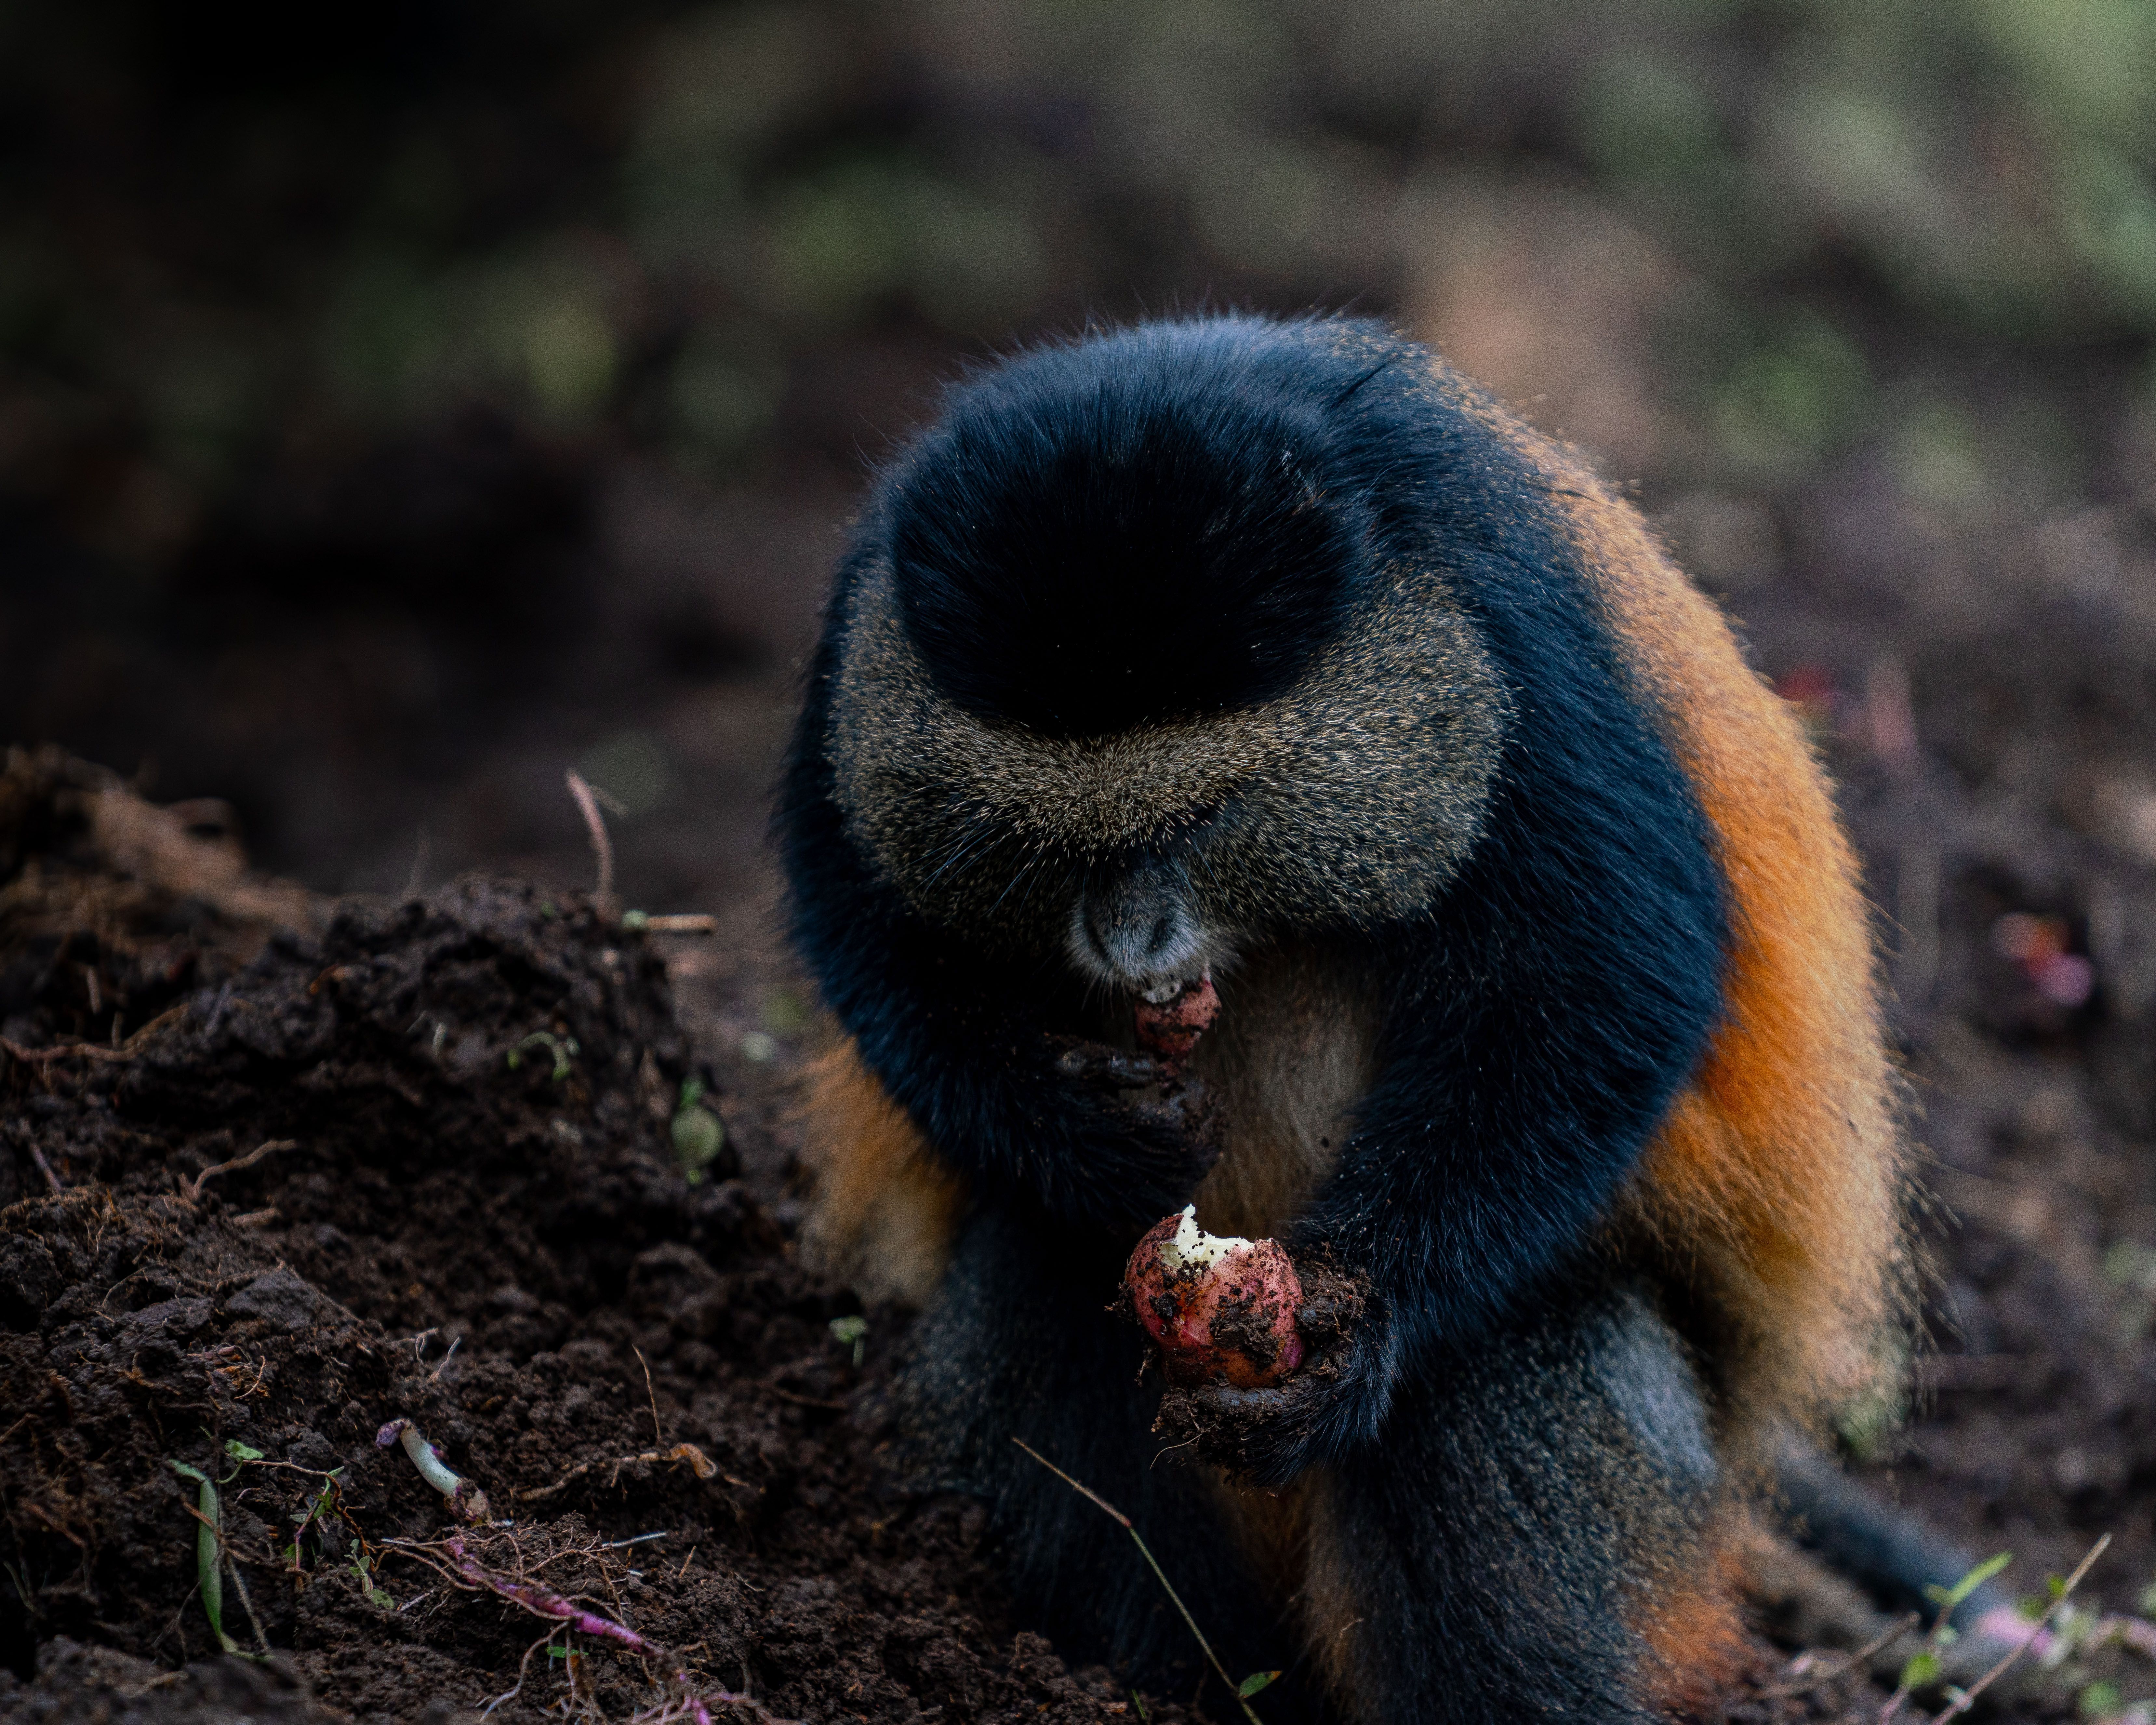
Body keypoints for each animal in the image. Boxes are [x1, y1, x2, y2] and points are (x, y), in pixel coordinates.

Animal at [774, 313, 1984, 1721]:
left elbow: (1604, 978)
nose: (1128, 941)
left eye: (1204, 819)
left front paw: (1362, 1329)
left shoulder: (1515, 637)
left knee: (1501, 1365)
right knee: (1040, 1264)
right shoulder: (851, 640)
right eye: (1035, 838)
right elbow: (867, 930)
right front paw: (1079, 1136)